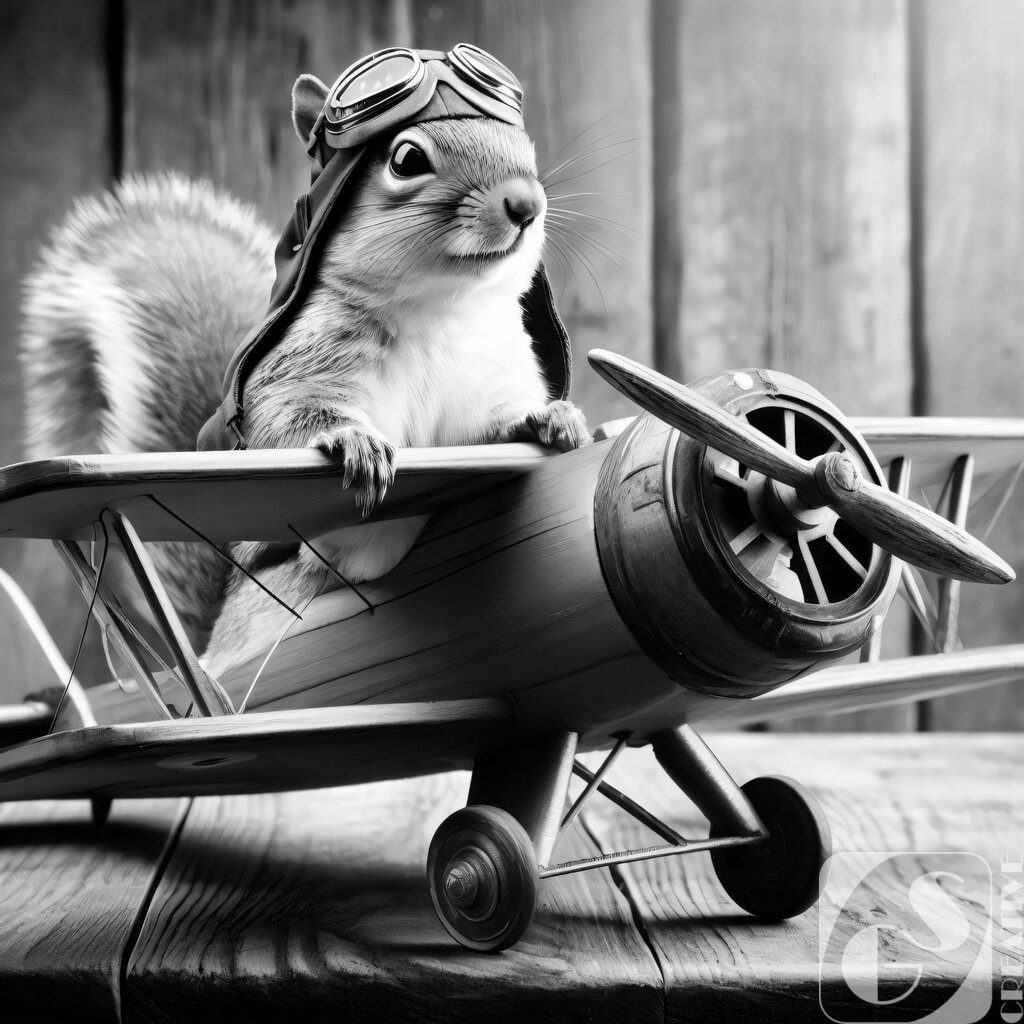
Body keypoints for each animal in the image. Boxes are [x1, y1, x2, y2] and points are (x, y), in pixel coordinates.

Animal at [21, 59, 590, 680]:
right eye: (406, 159)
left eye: (524, 145)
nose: (526, 204)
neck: (440, 307)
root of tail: (210, 643)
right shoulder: (301, 364)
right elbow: (282, 424)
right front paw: (354, 442)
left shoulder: (490, 381)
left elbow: (489, 431)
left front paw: (551, 418)